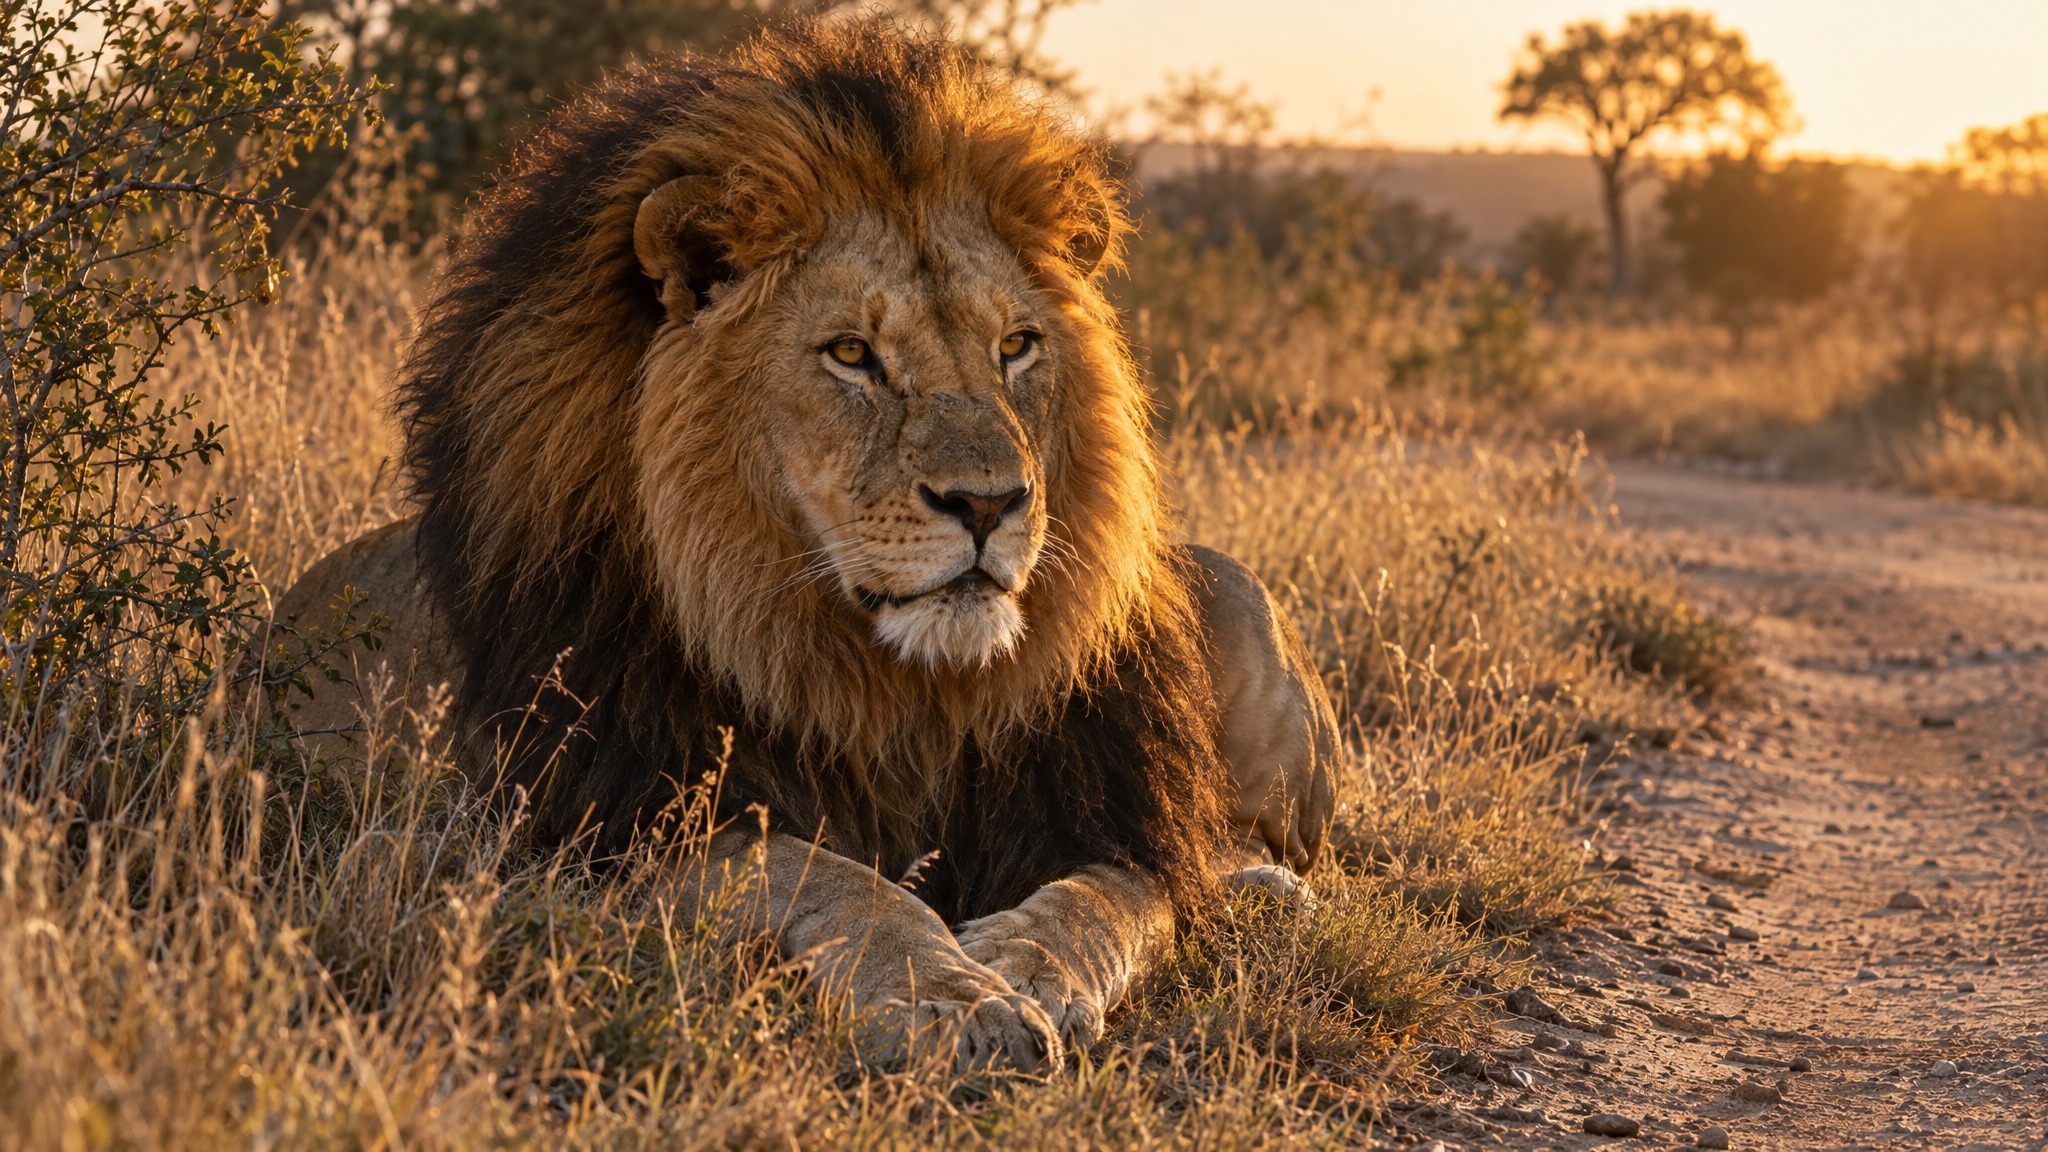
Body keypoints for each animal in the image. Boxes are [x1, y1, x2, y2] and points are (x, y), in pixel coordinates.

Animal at [274, 18, 1336, 1072]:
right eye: (852, 356)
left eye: (1016, 348)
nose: (990, 504)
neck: (902, 689)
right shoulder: (623, 808)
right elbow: (824, 876)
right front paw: (955, 997)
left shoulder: (1107, 804)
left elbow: (1108, 901)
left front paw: (1023, 963)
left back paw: (1263, 890)